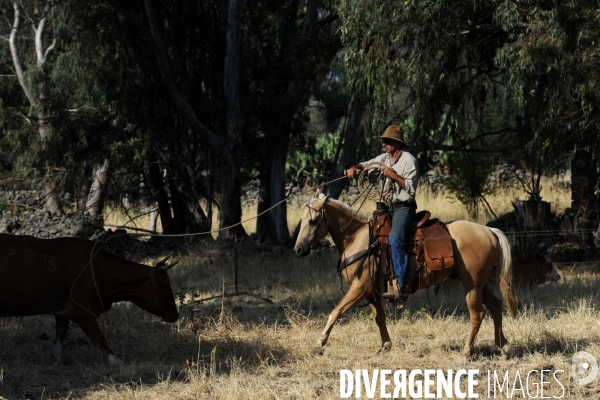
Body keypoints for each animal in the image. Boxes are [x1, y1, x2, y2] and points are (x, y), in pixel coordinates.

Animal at [0, 233, 178, 364]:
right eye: (165, 287)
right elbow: (98, 337)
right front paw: (116, 361)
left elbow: (61, 331)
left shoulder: (64, 309)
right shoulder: (80, 309)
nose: (176, 315)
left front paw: (57, 357)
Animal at [292, 195, 516, 356]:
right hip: (479, 283)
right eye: (302, 220)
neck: (359, 238)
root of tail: (489, 230)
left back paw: (467, 351)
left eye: (313, 221)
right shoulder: (371, 291)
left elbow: (335, 312)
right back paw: (503, 345)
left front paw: (318, 344)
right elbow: (379, 317)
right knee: (496, 306)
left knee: (477, 314)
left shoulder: (359, 287)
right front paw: (385, 345)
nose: (299, 249)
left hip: (472, 284)